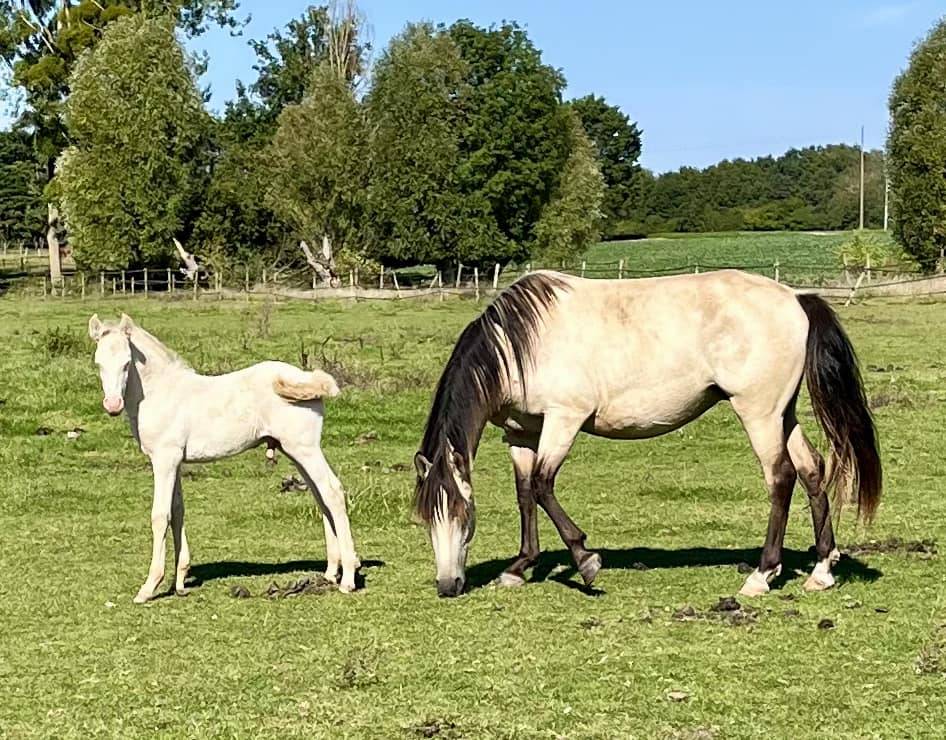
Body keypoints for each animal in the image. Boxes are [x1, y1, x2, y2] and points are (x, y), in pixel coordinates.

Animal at [88, 313, 360, 602]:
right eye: (98, 363)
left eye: (127, 363)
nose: (113, 405)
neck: (161, 392)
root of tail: (308, 380)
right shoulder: (176, 461)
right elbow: (178, 510)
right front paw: (180, 581)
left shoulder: (164, 459)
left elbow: (160, 515)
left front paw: (149, 587)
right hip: (295, 452)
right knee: (321, 498)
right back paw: (331, 572)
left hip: (305, 448)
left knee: (332, 491)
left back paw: (348, 579)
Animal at [413, 270, 881, 598]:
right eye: (425, 518)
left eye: (463, 514)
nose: (448, 585)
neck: (520, 345)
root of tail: (795, 299)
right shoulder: (522, 434)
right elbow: (526, 494)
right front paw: (519, 567)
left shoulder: (564, 420)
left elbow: (544, 486)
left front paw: (586, 561)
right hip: (783, 413)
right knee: (812, 469)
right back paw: (821, 570)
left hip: (759, 412)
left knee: (780, 477)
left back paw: (762, 575)